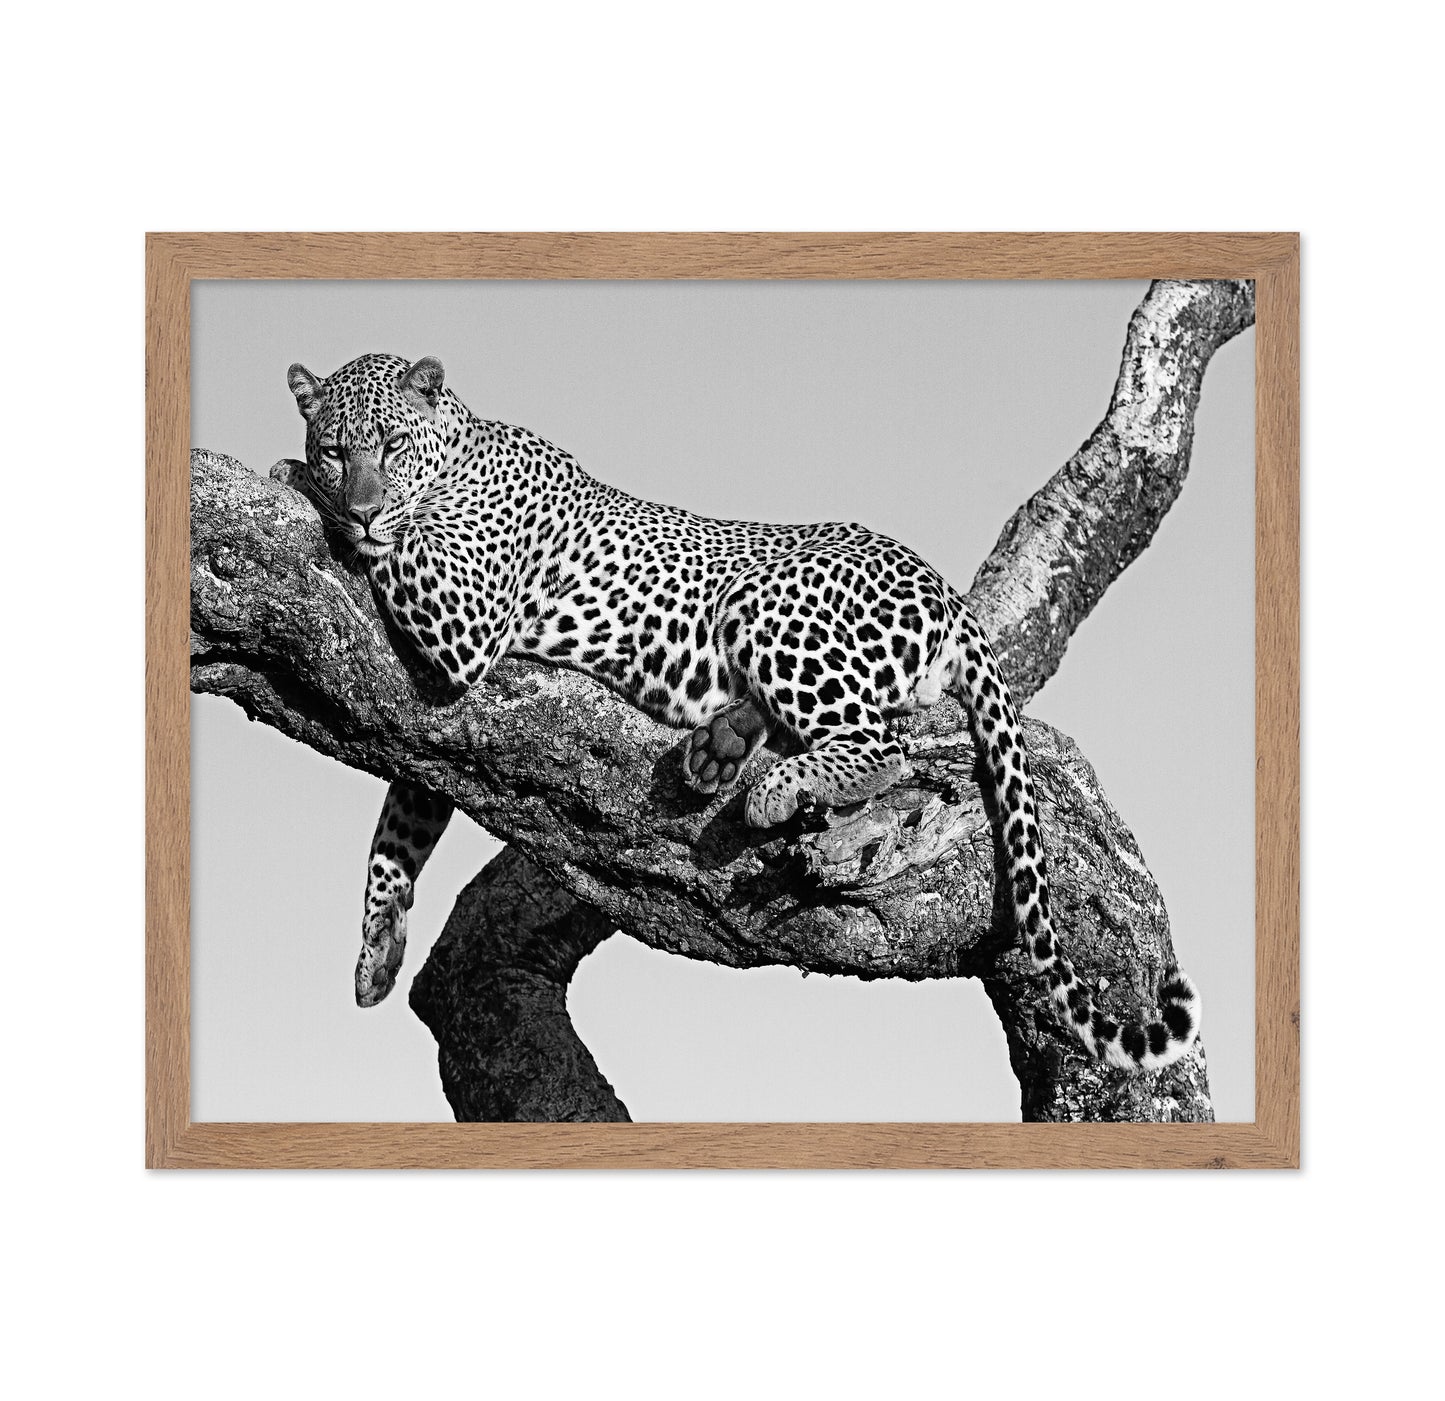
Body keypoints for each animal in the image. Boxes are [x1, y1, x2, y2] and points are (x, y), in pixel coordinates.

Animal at [273, 351, 1201, 1073]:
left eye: (390, 446)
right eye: (337, 449)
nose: (358, 504)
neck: (460, 448)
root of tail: (943, 589)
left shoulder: (462, 617)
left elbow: (400, 553)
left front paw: (295, 483)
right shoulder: (432, 725)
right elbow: (401, 821)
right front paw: (377, 947)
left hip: (768, 600)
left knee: (885, 743)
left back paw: (773, 785)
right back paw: (719, 746)